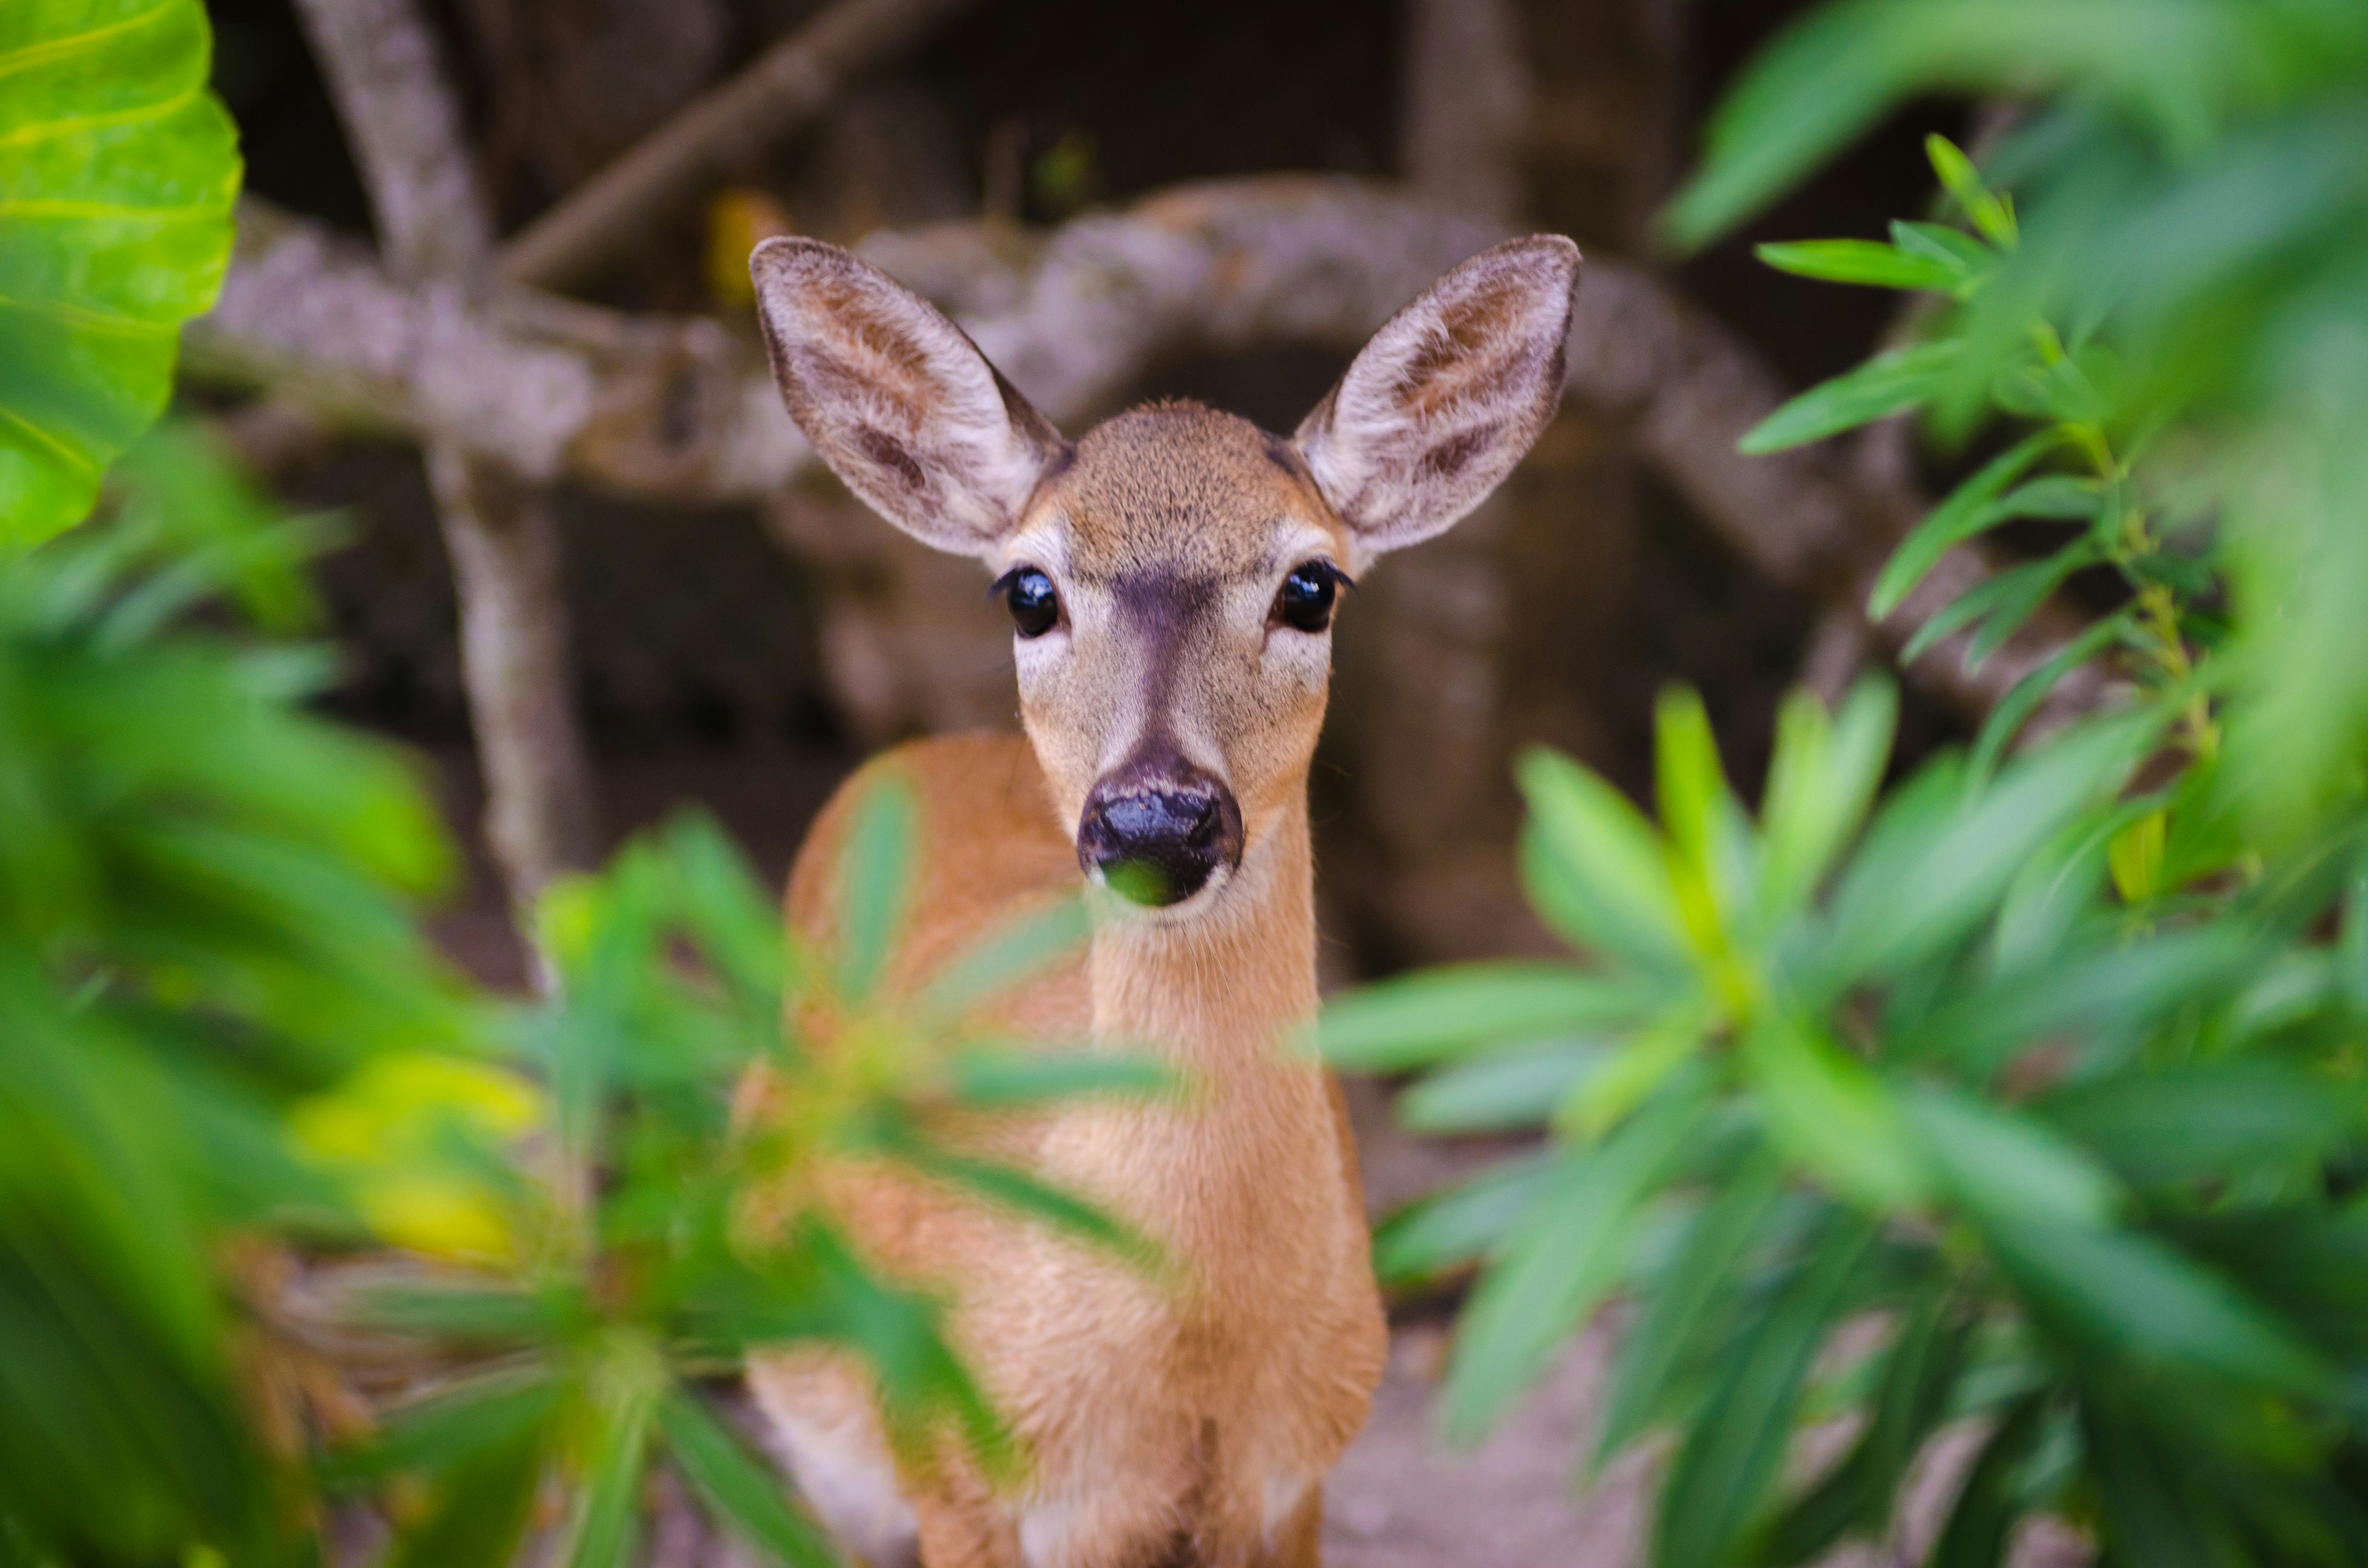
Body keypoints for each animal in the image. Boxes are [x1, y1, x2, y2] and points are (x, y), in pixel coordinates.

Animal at [739, 224, 1591, 1568]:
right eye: (1029, 589)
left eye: (1312, 584)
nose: (1155, 816)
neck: (1185, 1368)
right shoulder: (954, 1477)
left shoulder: (1299, 1481)